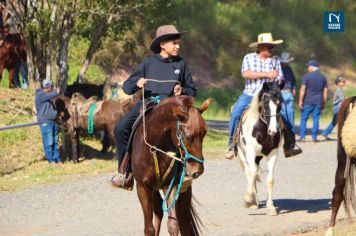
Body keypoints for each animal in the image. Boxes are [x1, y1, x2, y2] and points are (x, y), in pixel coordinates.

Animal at [129, 96, 210, 236]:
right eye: (188, 136)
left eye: (204, 133)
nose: (198, 170)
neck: (154, 148)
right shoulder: (143, 188)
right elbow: (149, 228)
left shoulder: (171, 185)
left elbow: (173, 225)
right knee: (159, 212)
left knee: (183, 220)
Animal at [235, 81, 282, 216]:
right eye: (266, 103)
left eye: (280, 104)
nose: (273, 131)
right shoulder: (250, 152)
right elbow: (252, 173)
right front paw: (248, 200)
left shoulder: (273, 154)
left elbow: (270, 180)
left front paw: (271, 207)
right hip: (243, 154)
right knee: (249, 172)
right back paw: (252, 202)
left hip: (257, 157)